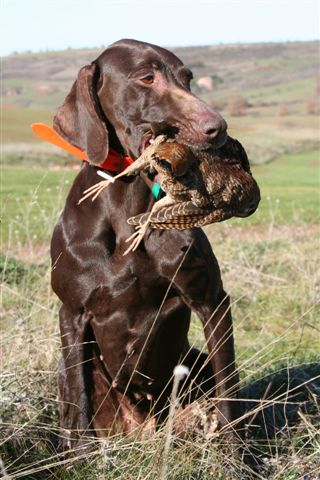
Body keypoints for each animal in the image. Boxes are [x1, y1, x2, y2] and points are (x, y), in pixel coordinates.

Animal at [50, 38, 260, 454]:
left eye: (188, 78)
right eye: (146, 78)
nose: (217, 129)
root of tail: (141, 429)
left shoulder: (212, 300)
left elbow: (229, 386)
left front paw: (238, 457)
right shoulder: (72, 313)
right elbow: (79, 402)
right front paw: (81, 458)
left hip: (192, 362)